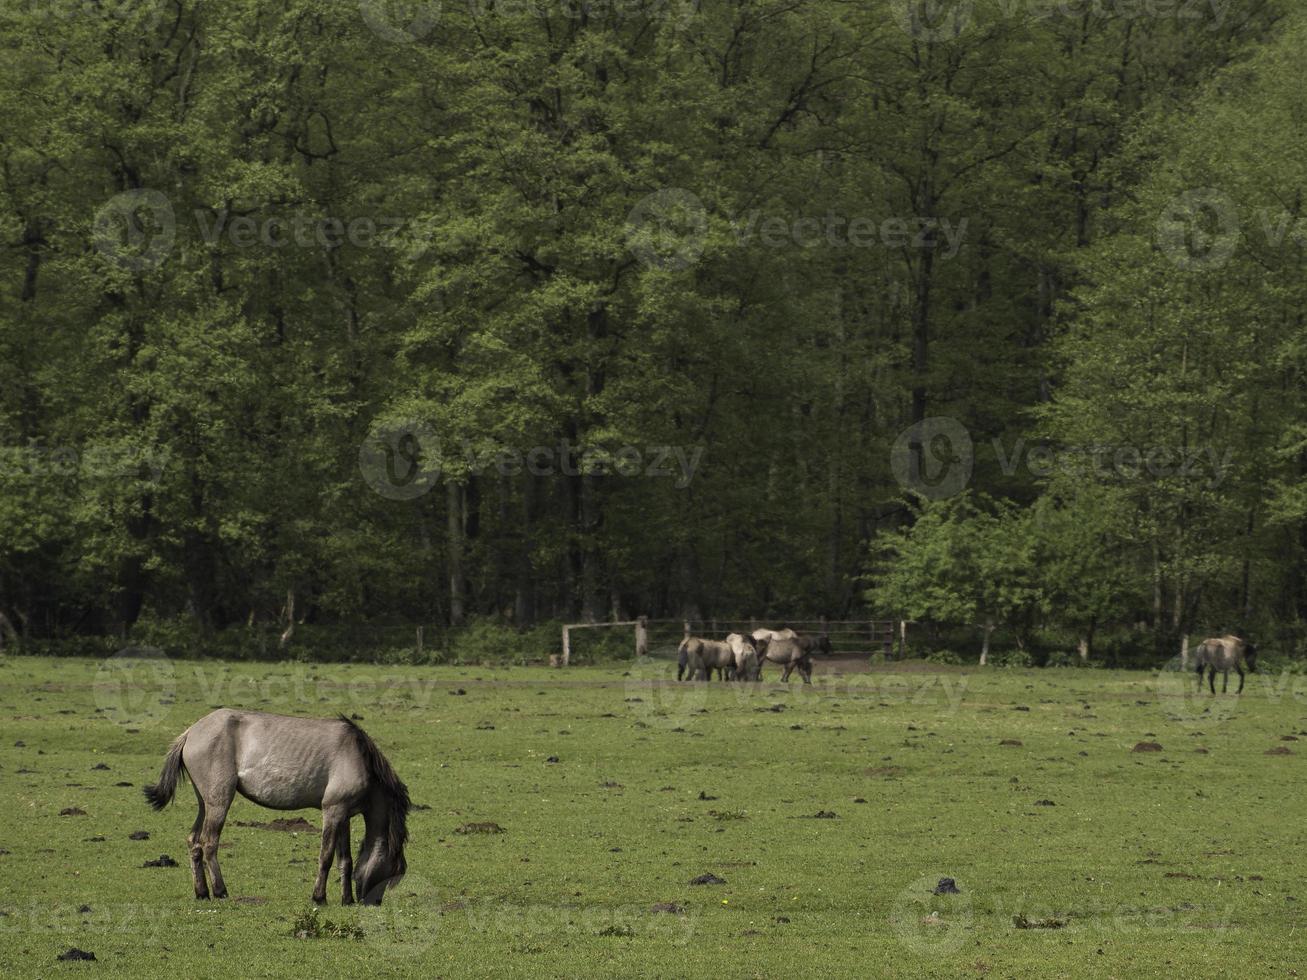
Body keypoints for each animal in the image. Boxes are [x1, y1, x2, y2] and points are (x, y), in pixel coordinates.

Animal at [143, 710, 410, 909]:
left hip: (204, 803)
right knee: (209, 842)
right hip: (219, 801)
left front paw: (346, 899)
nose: (373, 903)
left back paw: (202, 892)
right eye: (392, 870)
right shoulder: (332, 811)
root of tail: (190, 732)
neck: (359, 756)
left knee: (194, 841)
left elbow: (345, 859)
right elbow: (325, 856)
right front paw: (319, 897)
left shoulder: (342, 815)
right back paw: (220, 890)